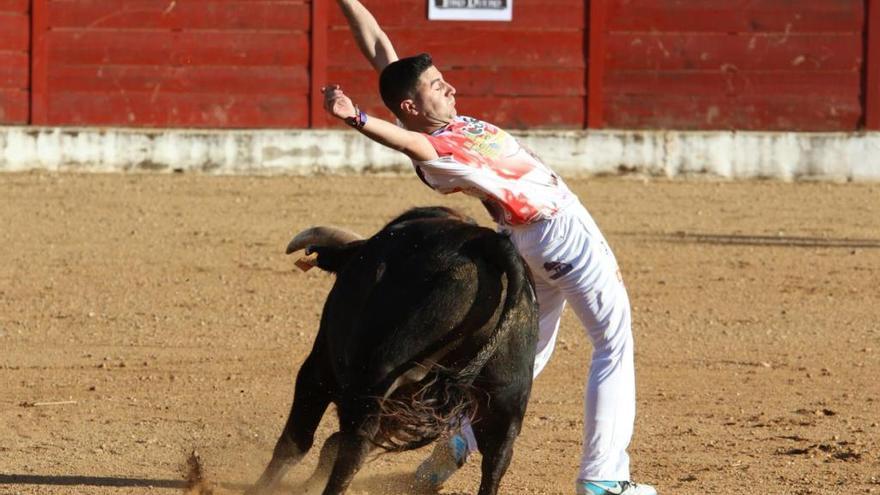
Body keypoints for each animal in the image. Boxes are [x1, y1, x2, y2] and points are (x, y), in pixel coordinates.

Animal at [244, 207, 540, 495]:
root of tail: (485, 243)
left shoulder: (318, 367)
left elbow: (296, 441)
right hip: (507, 396)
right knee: (497, 458)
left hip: (375, 378)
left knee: (353, 451)